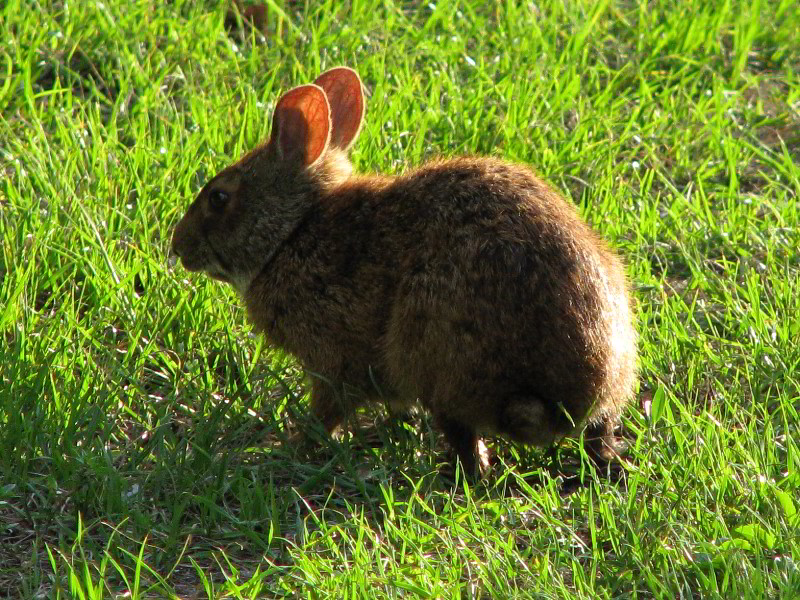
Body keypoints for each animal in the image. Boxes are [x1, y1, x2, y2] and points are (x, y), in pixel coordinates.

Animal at [173, 67, 636, 478]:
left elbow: (327, 410)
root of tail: (566, 402)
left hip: (437, 351)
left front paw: (293, 446)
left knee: (464, 438)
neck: (294, 231)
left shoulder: (333, 359)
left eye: (218, 198)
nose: (179, 246)